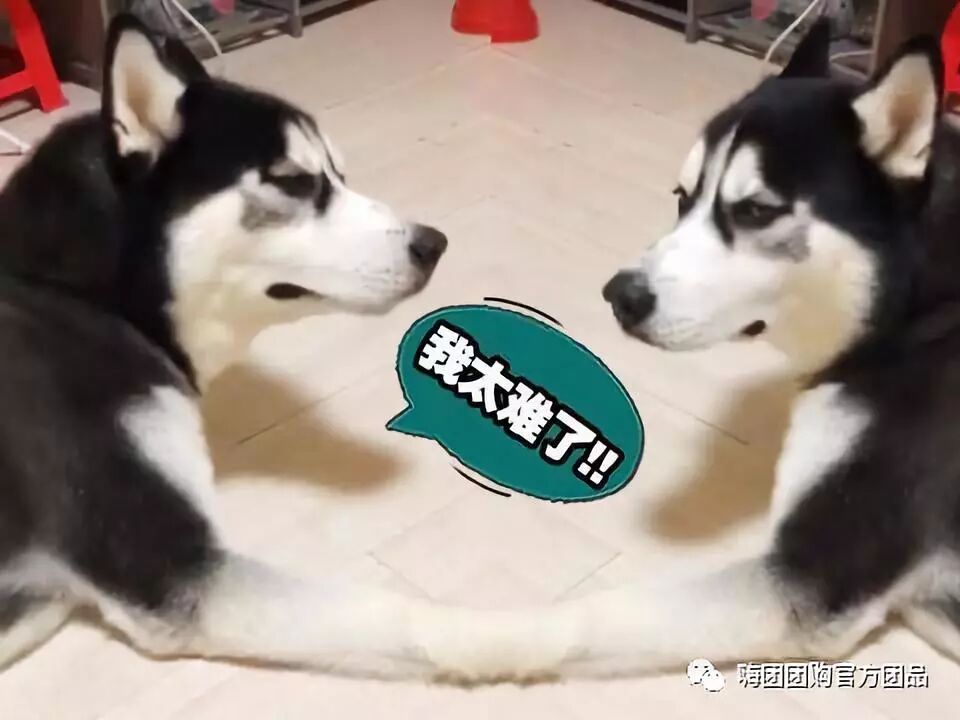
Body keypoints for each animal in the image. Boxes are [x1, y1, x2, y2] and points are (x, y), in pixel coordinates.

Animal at [0, 15, 518, 678]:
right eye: (295, 181)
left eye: (340, 175)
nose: (434, 244)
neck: (78, 293)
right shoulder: (173, 569)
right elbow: (404, 617)